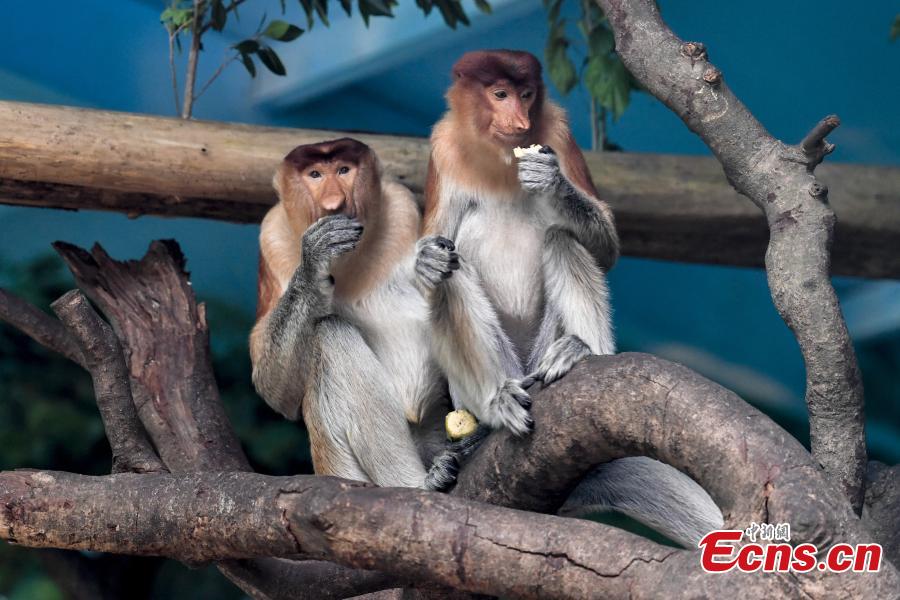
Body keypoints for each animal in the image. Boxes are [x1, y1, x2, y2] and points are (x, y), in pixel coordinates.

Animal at [249, 138, 459, 492]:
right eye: (315, 174)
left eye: (344, 169)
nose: (334, 203)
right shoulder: (272, 236)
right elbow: (273, 388)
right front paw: (314, 262)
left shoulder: (401, 207)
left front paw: (429, 262)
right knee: (330, 332)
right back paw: (418, 483)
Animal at [418, 50, 724, 547]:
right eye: (499, 94)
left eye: (527, 94)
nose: (521, 120)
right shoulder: (443, 149)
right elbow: (434, 255)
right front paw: (425, 259)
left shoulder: (558, 132)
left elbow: (605, 246)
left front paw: (551, 180)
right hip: (497, 373)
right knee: (453, 274)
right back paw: (494, 409)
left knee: (561, 236)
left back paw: (580, 350)